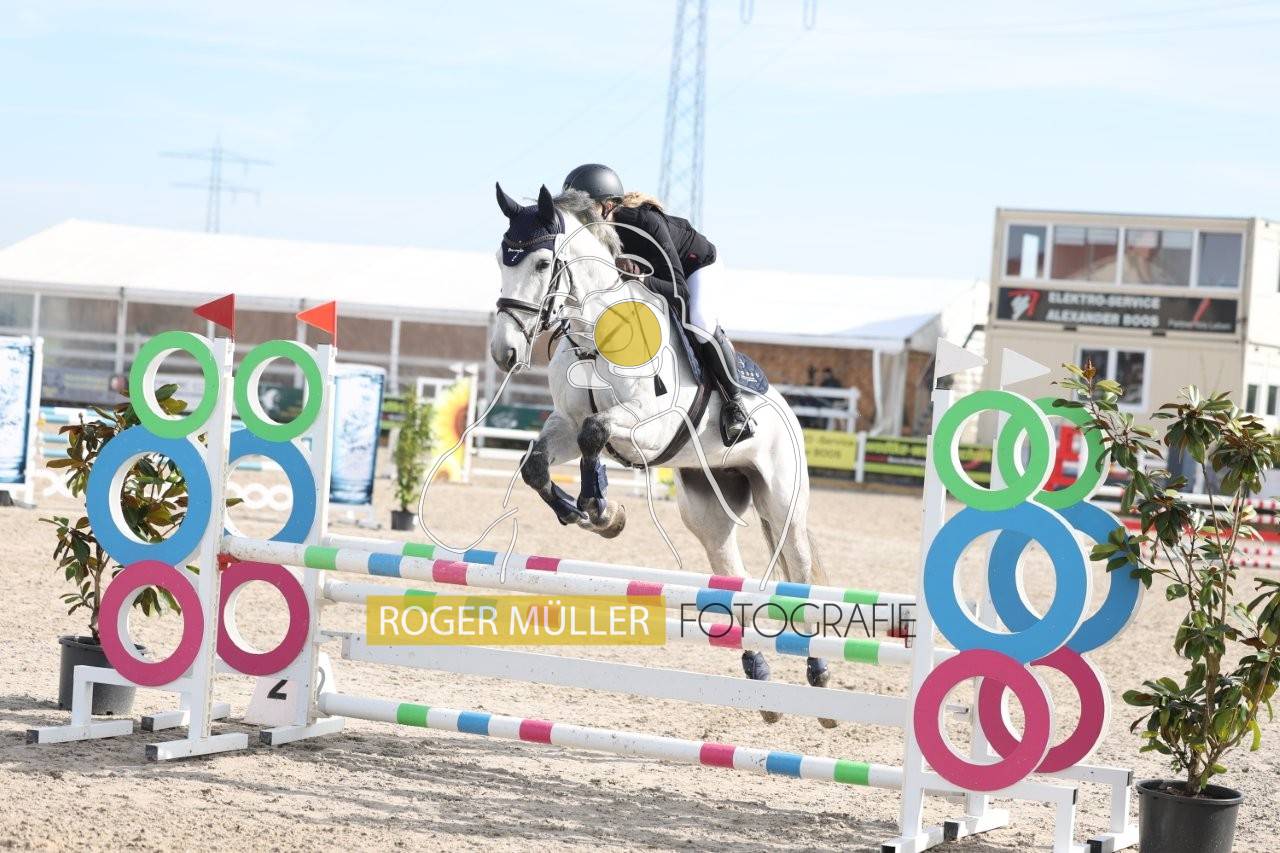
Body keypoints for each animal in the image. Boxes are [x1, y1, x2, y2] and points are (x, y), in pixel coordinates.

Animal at [488, 183, 833, 725]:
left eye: (543, 263)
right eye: (502, 258)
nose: (503, 353)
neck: (595, 335)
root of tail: (790, 415)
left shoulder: (650, 426)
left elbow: (595, 434)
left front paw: (600, 507)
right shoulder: (564, 422)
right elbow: (540, 462)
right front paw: (594, 514)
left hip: (784, 503)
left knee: (798, 572)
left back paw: (818, 675)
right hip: (708, 510)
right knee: (730, 574)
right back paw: (758, 673)